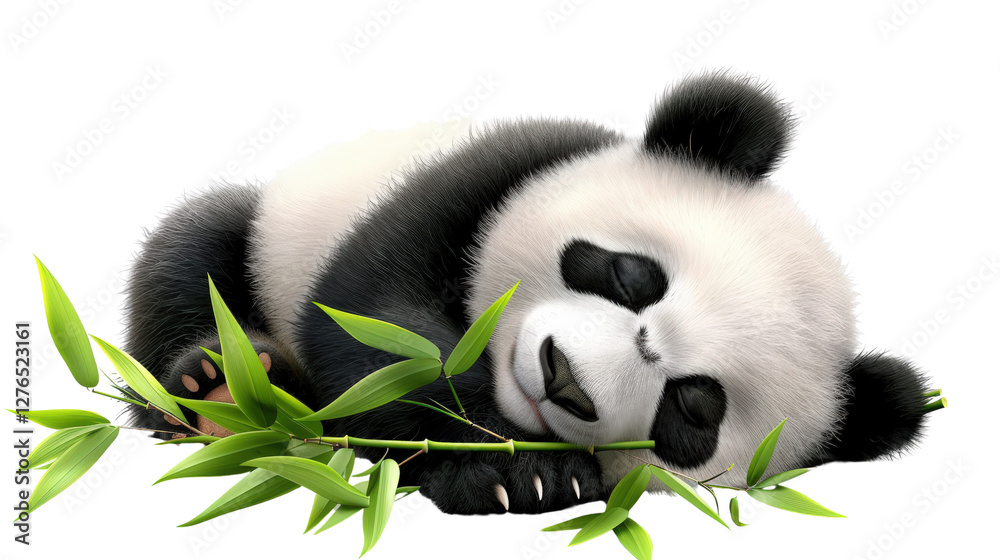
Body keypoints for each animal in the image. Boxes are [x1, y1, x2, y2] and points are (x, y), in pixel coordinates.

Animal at [125, 72, 932, 515]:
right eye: (628, 276)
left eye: (693, 410)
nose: (565, 381)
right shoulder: (495, 173)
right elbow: (380, 324)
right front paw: (514, 470)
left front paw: (534, 477)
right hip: (272, 227)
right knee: (195, 250)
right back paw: (217, 386)